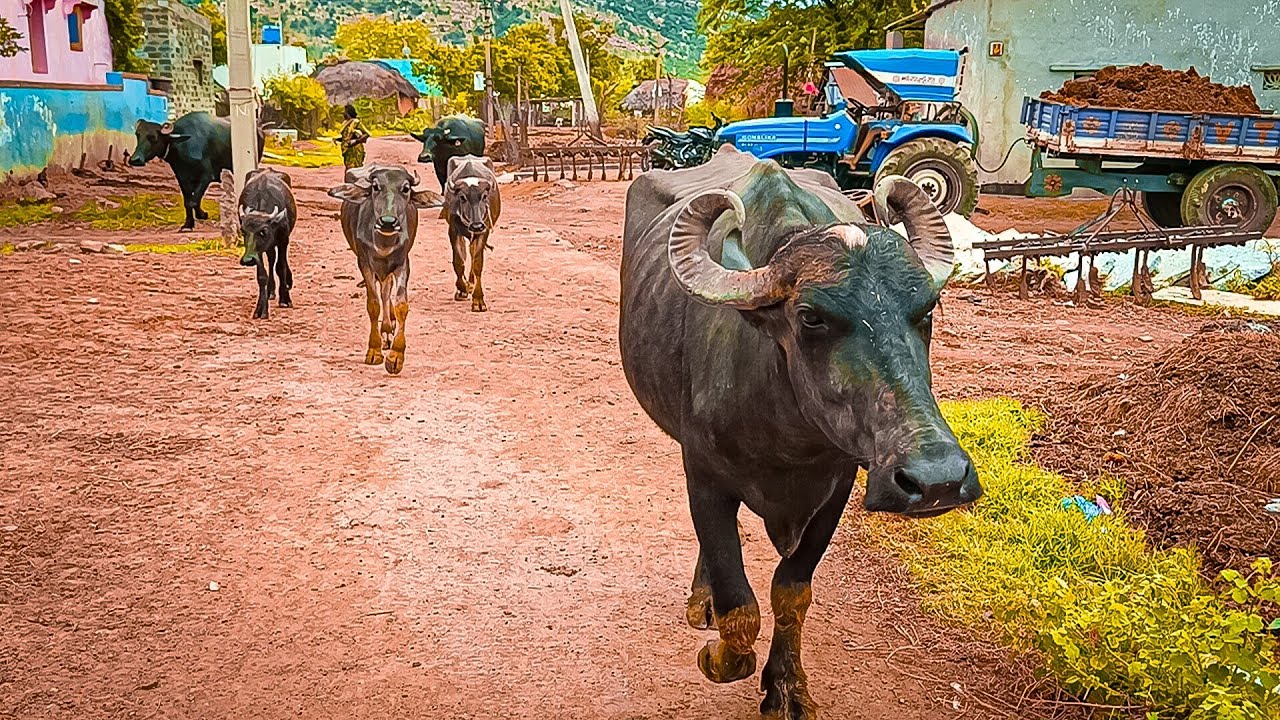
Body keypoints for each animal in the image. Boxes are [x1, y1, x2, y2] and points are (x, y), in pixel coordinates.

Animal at [130, 112, 264, 231]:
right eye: (138, 135)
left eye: (153, 137)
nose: (135, 160)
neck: (183, 146)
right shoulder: (183, 178)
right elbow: (187, 202)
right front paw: (187, 225)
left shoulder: (206, 176)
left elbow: (194, 201)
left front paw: (202, 215)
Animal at [235, 167, 297, 319]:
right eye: (243, 231)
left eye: (263, 231)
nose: (247, 260)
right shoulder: (256, 251)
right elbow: (262, 275)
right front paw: (260, 309)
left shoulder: (283, 240)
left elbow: (280, 267)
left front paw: (285, 299)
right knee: (271, 259)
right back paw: (270, 291)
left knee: (277, 262)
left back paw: (287, 282)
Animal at [328, 165, 443, 375]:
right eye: (375, 187)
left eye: (405, 188)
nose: (388, 221)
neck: (384, 243)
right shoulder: (364, 263)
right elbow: (373, 304)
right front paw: (374, 351)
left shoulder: (402, 263)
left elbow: (401, 305)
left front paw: (396, 356)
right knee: (383, 292)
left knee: (387, 290)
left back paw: (389, 331)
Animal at [442, 155, 502, 312]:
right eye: (462, 197)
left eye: (484, 196)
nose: (476, 225)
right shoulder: (453, 230)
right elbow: (458, 261)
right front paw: (462, 288)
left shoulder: (484, 231)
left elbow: (477, 263)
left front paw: (478, 300)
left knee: (472, 252)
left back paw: (471, 282)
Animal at [618, 146, 981, 719]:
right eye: (810, 316)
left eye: (927, 310)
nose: (937, 480)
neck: (786, 440)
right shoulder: (703, 474)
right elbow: (739, 605)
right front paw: (718, 653)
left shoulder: (836, 488)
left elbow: (790, 592)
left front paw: (786, 686)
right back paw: (703, 601)